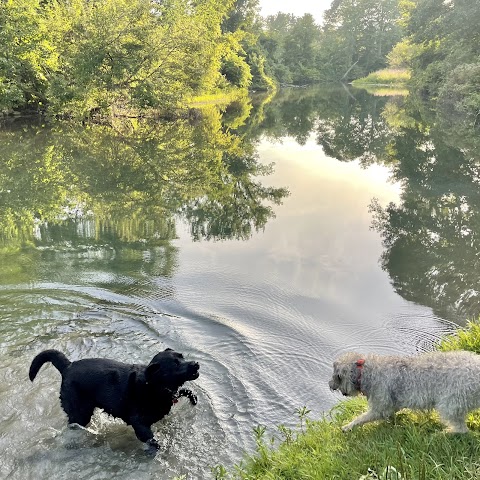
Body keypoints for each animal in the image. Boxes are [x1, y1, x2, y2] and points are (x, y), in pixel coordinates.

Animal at [29, 346, 200, 448]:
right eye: (175, 364)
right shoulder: (140, 425)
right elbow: (152, 441)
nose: (196, 363)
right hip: (80, 413)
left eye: (182, 357)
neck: (154, 385)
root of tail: (68, 366)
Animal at [330, 348, 480, 436]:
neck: (367, 371)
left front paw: (349, 426)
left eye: (337, 376)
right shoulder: (391, 404)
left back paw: (444, 434)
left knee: (462, 429)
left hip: (450, 404)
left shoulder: (380, 405)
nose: (330, 386)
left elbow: (362, 418)